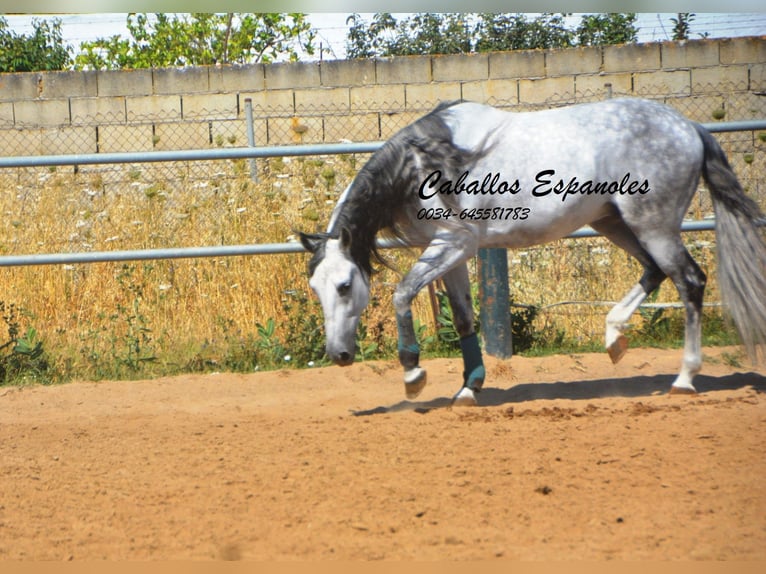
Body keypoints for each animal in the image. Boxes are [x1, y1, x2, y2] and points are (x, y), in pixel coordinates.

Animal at [300, 98, 766, 406]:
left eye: (345, 286)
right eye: (315, 289)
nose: (338, 355)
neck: (422, 165)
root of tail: (690, 127)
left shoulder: (454, 243)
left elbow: (402, 293)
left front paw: (414, 374)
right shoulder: (452, 250)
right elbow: (464, 318)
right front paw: (469, 388)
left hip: (654, 225)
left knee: (689, 280)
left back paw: (684, 378)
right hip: (614, 222)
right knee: (655, 271)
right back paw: (614, 338)